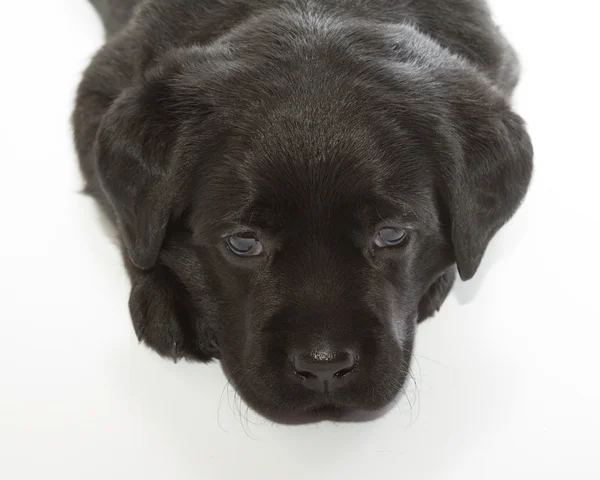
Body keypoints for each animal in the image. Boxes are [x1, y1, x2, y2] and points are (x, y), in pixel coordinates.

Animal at [72, 0, 532, 416]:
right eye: (243, 243)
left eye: (391, 234)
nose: (324, 368)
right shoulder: (102, 87)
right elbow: (133, 229)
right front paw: (170, 295)